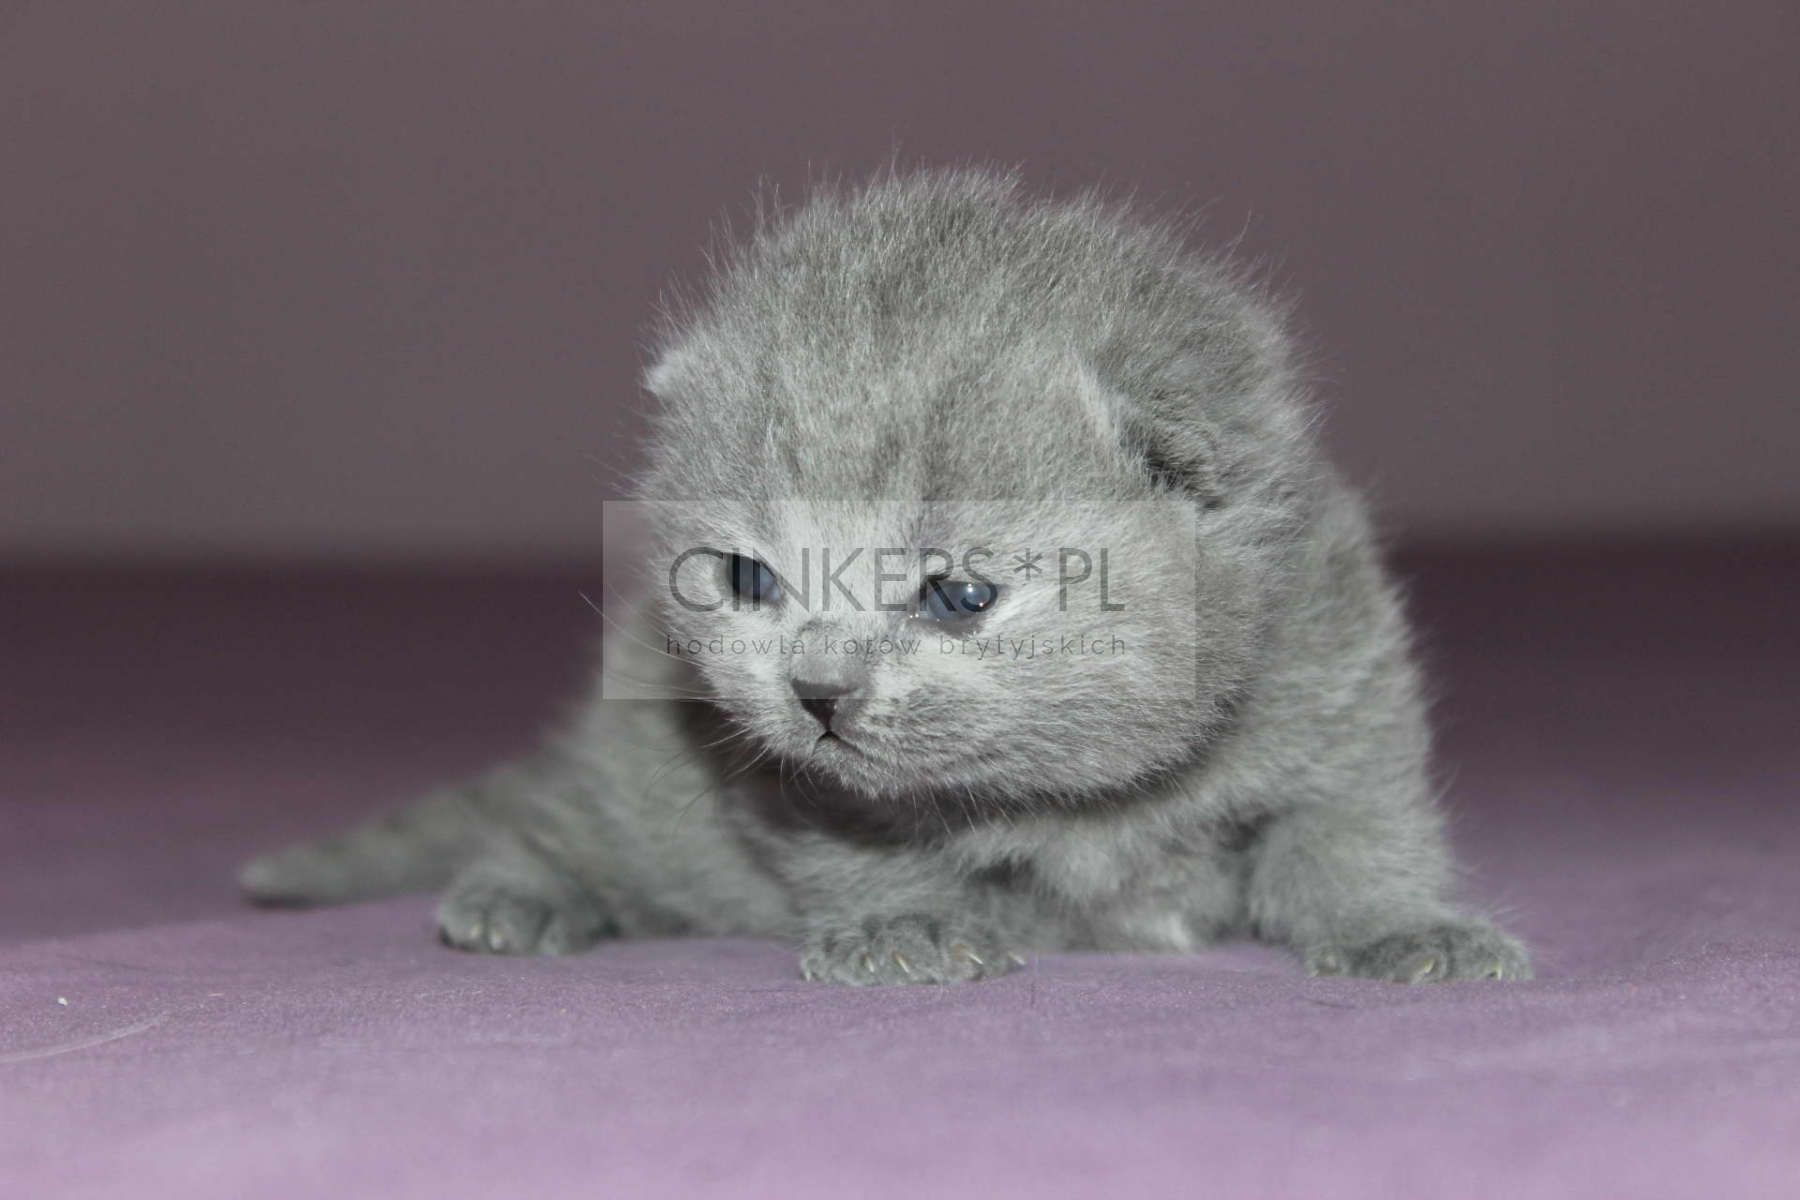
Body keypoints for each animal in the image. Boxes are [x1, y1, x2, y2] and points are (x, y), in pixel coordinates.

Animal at [240, 166, 1531, 986]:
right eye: (749, 581)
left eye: (958, 596)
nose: (816, 693)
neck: (1084, 800)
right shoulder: (786, 787)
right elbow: (858, 844)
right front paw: (903, 925)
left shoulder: (1342, 678)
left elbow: (1354, 827)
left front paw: (1404, 928)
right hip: (640, 780)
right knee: (579, 822)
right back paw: (524, 896)